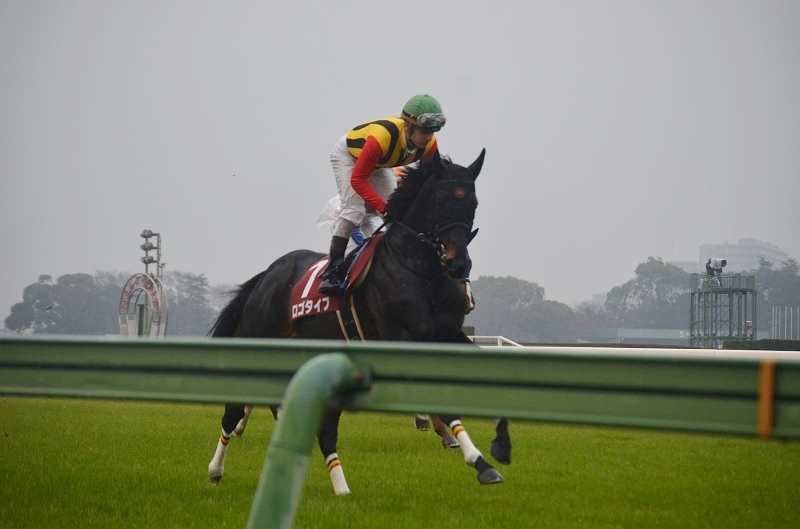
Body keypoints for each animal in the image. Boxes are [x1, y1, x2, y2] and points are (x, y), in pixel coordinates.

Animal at [206, 150, 512, 496]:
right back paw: (216, 469)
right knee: (233, 413)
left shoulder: (447, 335)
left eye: (472, 203)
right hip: (262, 342)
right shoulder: (404, 340)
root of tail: (268, 274)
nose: (458, 262)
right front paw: (479, 461)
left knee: (321, 429)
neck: (418, 268)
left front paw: (497, 446)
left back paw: (340, 486)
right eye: (440, 200)